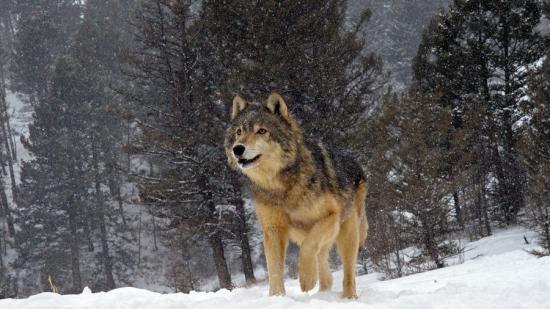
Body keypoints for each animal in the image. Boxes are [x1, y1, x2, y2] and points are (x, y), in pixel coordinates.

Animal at [224, 92, 370, 298]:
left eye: (261, 131)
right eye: (239, 132)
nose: (237, 148)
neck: (281, 187)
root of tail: (356, 163)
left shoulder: (330, 216)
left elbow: (308, 248)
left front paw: (306, 280)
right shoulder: (273, 229)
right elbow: (275, 270)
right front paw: (277, 297)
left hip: (347, 234)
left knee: (347, 272)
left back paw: (348, 297)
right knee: (324, 265)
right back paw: (323, 292)